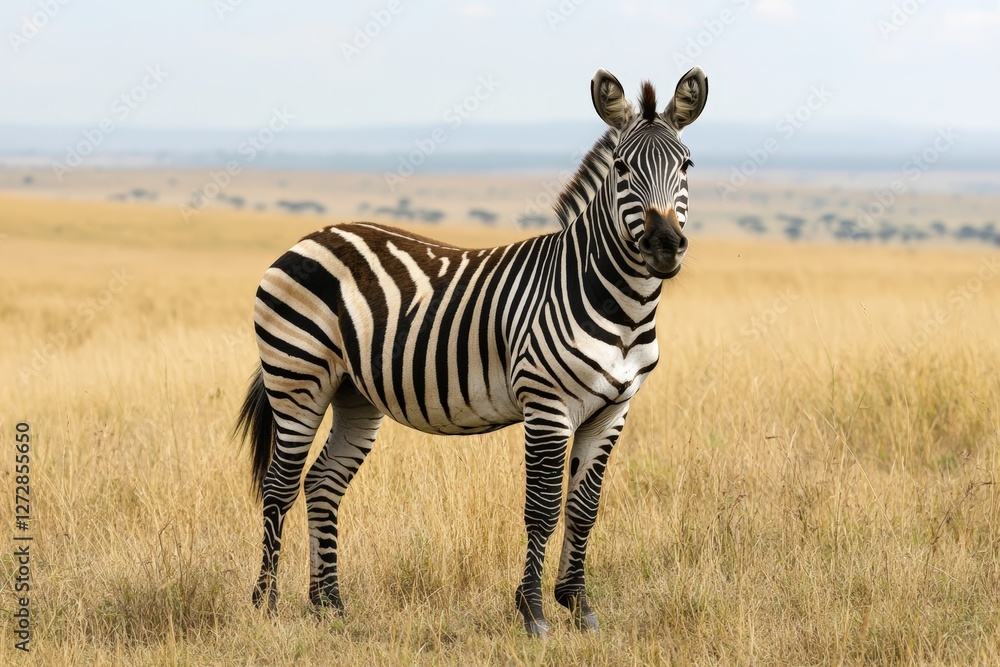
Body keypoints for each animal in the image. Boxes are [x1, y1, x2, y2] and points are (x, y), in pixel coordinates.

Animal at [233, 66, 708, 638]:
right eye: (621, 168)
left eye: (686, 165)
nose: (665, 246)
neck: (621, 307)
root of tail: (311, 237)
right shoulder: (546, 405)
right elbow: (542, 508)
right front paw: (533, 612)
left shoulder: (614, 409)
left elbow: (584, 509)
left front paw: (578, 604)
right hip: (297, 378)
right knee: (278, 486)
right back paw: (265, 604)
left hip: (353, 393)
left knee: (323, 483)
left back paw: (329, 605)